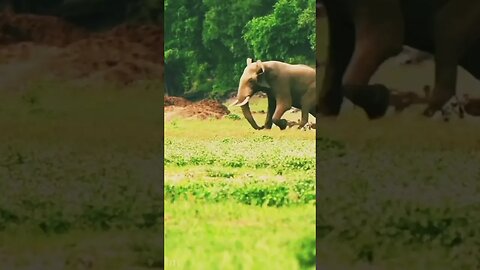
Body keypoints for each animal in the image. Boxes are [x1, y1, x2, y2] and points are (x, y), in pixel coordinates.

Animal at [318, 0, 480, 119]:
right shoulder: (338, 12)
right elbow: (339, 50)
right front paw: (327, 114)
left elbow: (386, 40)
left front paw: (380, 103)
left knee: (447, 33)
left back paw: (418, 118)